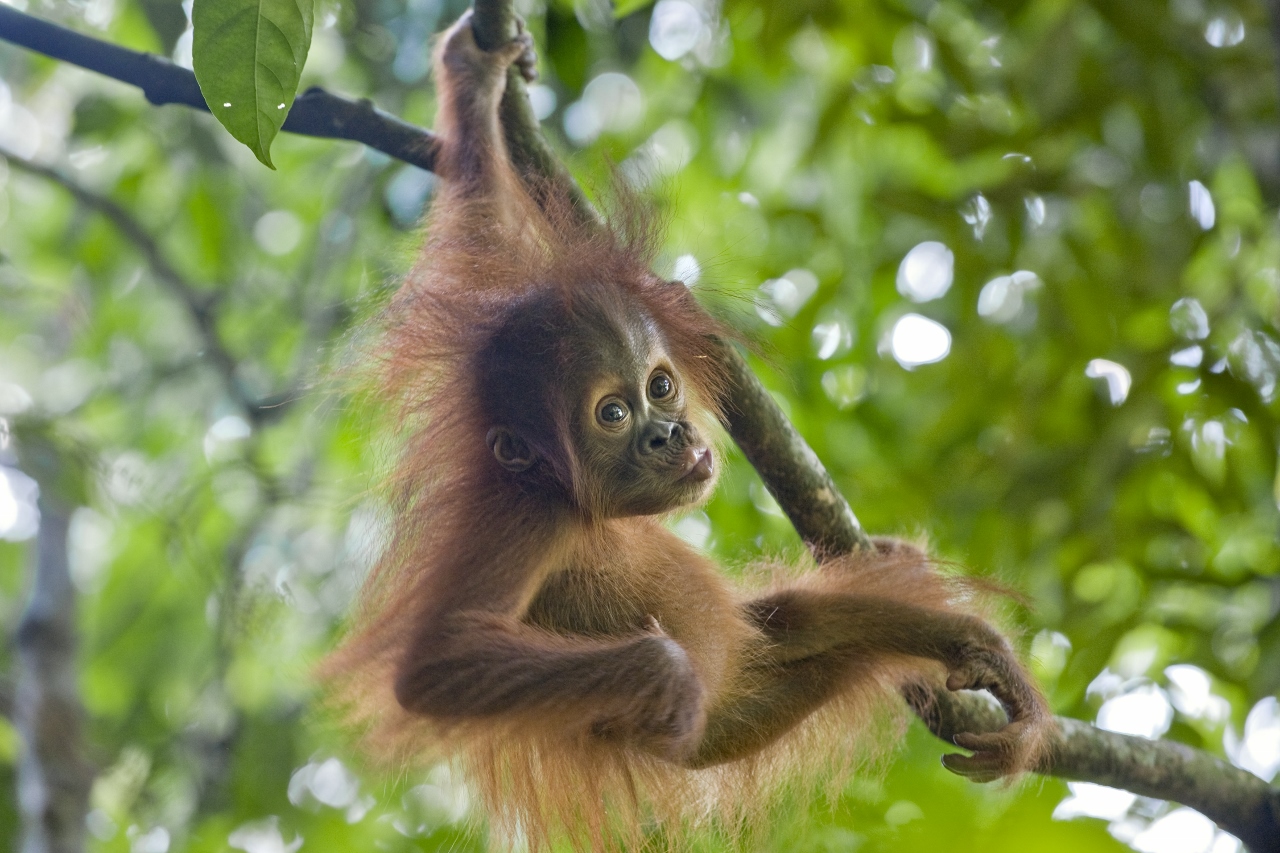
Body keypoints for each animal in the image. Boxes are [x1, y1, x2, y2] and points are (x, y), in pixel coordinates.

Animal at [324, 11, 1051, 851]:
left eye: (660, 385)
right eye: (614, 412)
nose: (669, 434)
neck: (580, 503)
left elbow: (483, 211)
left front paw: (474, 77)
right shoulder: (524, 516)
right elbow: (436, 667)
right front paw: (662, 671)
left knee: (794, 619)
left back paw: (958, 639)